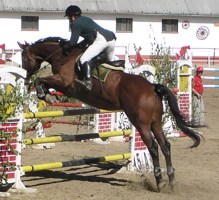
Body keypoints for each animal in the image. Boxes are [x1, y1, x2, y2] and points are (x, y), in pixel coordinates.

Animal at [17, 36, 202, 191]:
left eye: (24, 58)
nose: (24, 77)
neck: (63, 56)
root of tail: (152, 87)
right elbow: (43, 82)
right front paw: (47, 95)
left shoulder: (64, 82)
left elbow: (40, 80)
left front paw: (45, 95)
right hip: (155, 123)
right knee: (165, 146)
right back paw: (171, 180)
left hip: (141, 124)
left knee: (153, 147)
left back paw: (159, 181)